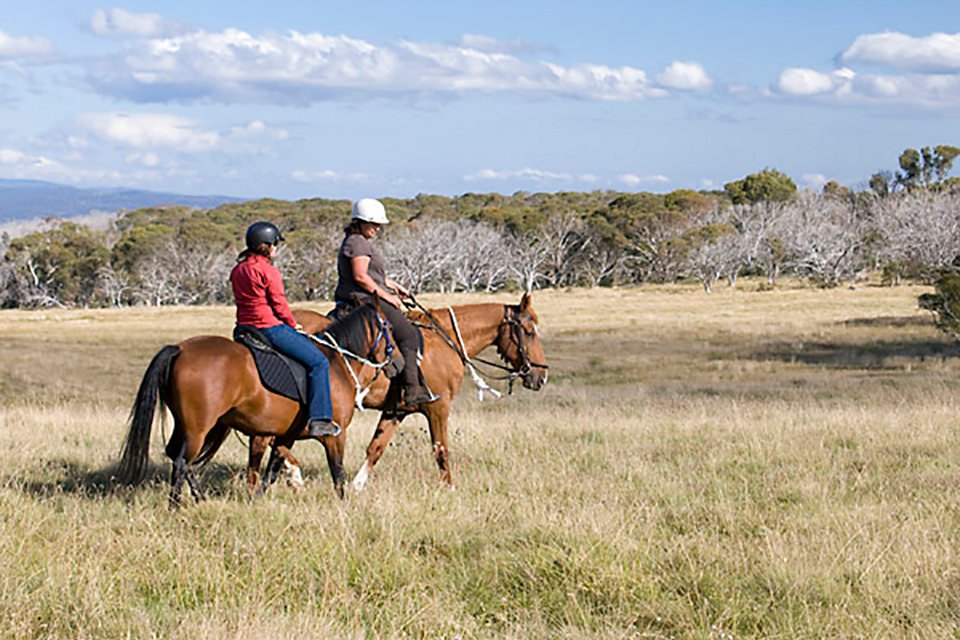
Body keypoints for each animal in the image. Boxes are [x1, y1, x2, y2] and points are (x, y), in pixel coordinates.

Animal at [116, 302, 394, 508]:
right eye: (390, 326)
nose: (396, 364)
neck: (336, 363)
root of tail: (179, 349)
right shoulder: (335, 435)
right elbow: (337, 472)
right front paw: (344, 505)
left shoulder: (284, 436)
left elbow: (271, 472)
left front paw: (256, 500)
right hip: (198, 428)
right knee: (183, 461)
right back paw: (175, 506)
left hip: (187, 425)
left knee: (177, 456)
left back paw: (201, 499)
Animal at [248, 292, 548, 492]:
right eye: (529, 332)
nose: (541, 376)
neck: (445, 339)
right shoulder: (438, 408)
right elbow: (441, 450)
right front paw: (449, 489)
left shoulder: (396, 411)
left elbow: (376, 449)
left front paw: (358, 486)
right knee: (267, 439)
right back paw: (290, 476)